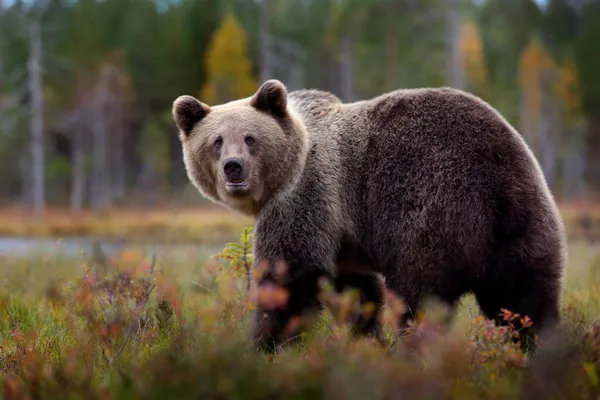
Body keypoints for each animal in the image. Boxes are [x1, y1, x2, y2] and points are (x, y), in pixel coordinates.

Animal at [172, 79, 568, 354]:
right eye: (217, 141)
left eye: (250, 138)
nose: (233, 167)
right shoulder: (344, 238)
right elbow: (356, 291)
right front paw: (366, 339)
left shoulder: (307, 196)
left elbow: (290, 277)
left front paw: (262, 345)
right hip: (526, 223)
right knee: (526, 298)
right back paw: (539, 351)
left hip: (432, 211)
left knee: (419, 299)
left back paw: (415, 354)